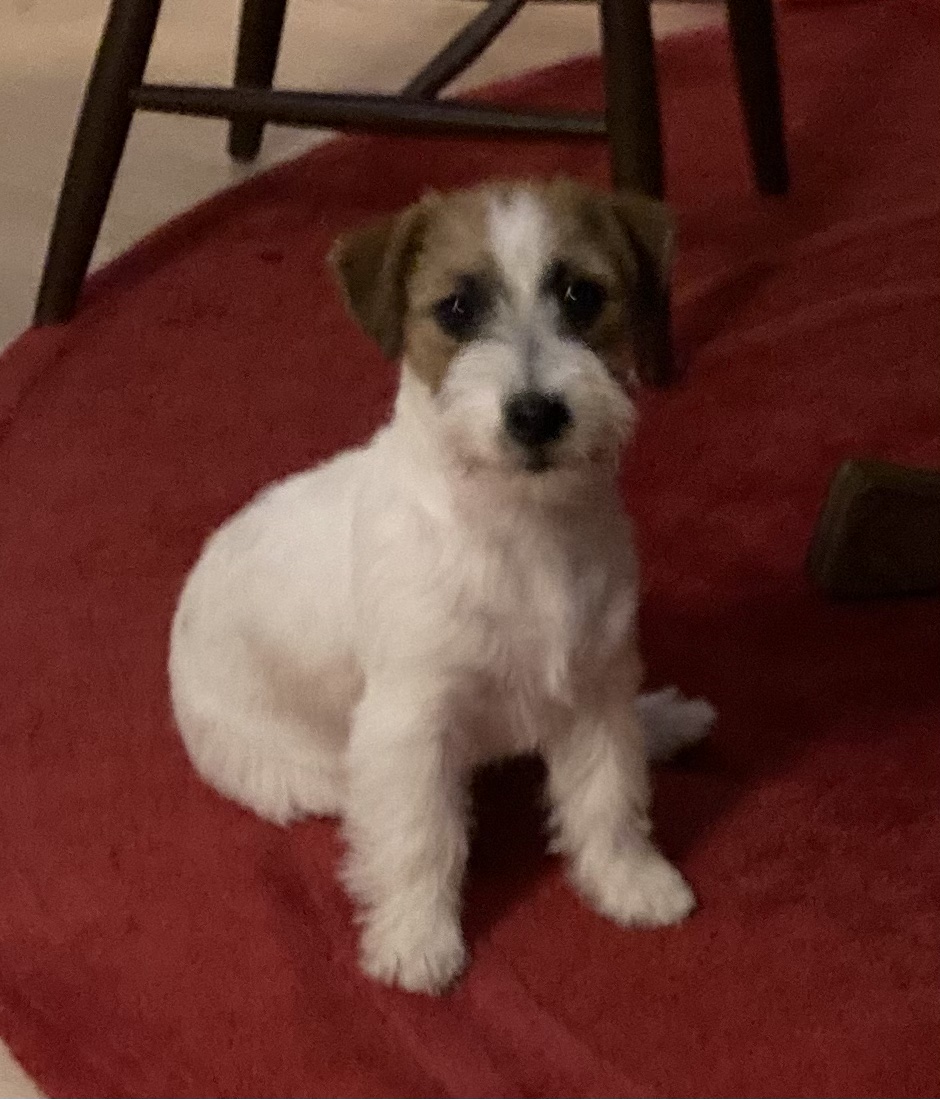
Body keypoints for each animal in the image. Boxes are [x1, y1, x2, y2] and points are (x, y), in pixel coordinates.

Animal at [169, 178, 714, 994]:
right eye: (456, 308)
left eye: (582, 295)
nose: (535, 414)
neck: (521, 527)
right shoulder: (410, 724)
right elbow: (420, 834)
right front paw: (414, 938)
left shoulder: (594, 685)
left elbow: (608, 793)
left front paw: (628, 880)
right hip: (304, 772)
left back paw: (661, 721)